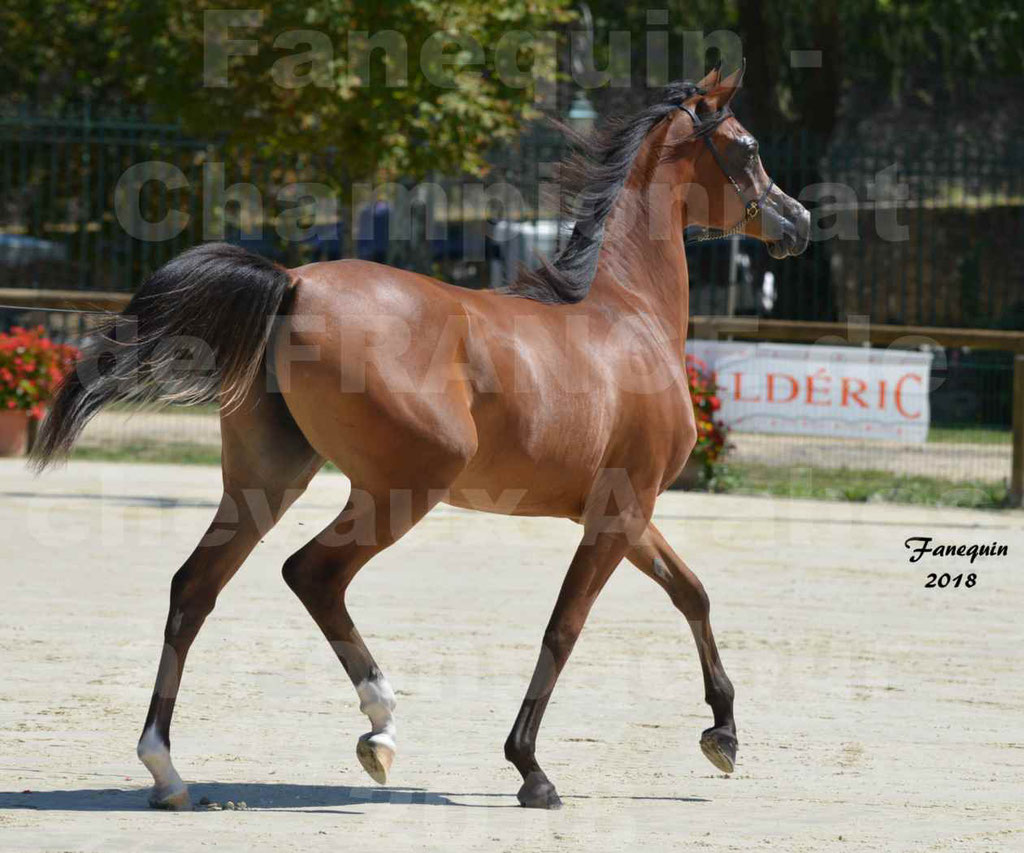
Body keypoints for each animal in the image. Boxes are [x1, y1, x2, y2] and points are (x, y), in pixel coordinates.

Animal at [34, 66, 806, 806]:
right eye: (747, 148)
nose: (797, 220)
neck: (626, 311)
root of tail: (293, 283)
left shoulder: (625, 511)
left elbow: (692, 593)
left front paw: (723, 734)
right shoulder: (619, 513)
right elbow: (565, 626)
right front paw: (530, 769)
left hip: (267, 481)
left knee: (195, 588)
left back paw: (167, 770)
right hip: (405, 487)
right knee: (311, 574)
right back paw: (380, 728)